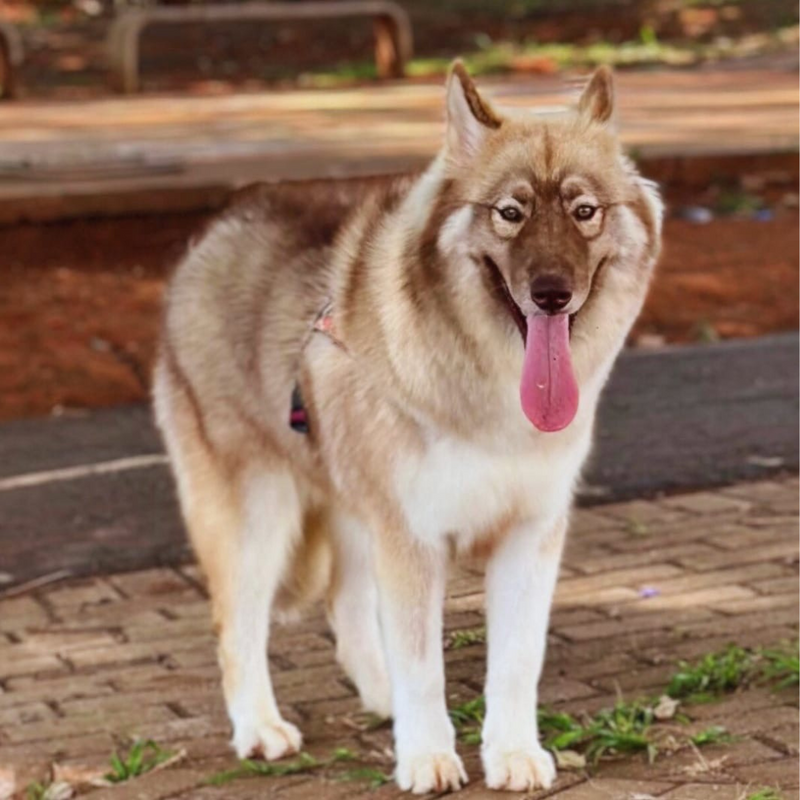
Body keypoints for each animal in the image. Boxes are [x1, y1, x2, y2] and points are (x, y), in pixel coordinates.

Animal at [155, 64, 664, 792]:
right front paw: (427, 756)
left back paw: (379, 699)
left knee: (344, 607)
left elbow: (517, 663)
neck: (488, 388)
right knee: (237, 623)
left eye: (583, 210)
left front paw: (511, 753)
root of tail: (213, 233)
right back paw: (260, 728)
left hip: (352, 510)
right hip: (259, 513)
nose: (551, 293)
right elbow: (422, 665)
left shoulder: (529, 537)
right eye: (510, 213)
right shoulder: (413, 540)